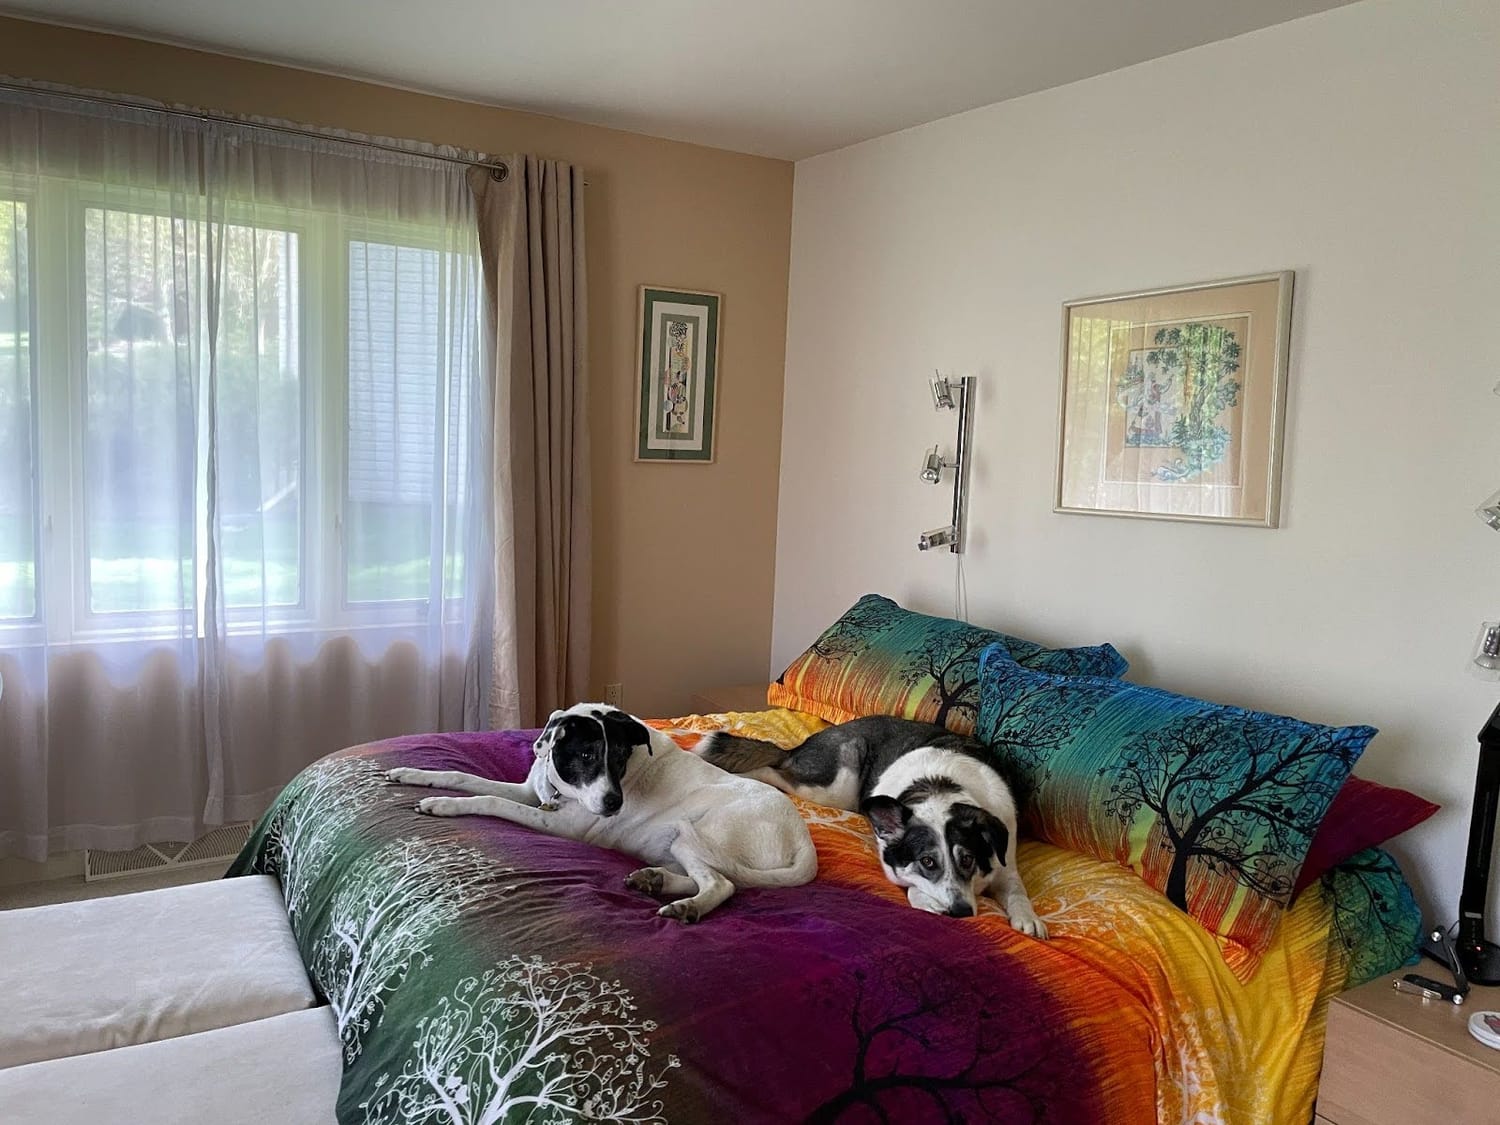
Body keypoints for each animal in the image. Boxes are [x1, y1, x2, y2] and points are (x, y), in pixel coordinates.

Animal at [386, 703, 817, 923]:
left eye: (622, 757)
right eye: (588, 755)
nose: (614, 804)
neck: (560, 789)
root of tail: (804, 845)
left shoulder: (557, 823)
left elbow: (491, 802)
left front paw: (444, 806)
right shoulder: (529, 791)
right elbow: (464, 776)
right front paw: (414, 775)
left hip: (695, 833)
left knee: (722, 883)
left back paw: (688, 907)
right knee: (710, 878)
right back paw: (654, 880)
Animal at [698, 715, 1046, 937]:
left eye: (968, 859)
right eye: (927, 862)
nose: (961, 913)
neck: (940, 786)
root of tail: (807, 742)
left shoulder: (1005, 864)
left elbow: (1017, 890)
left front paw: (1028, 919)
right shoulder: (895, 870)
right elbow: (913, 891)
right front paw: (930, 905)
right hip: (833, 784)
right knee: (774, 771)